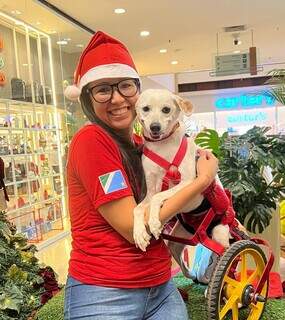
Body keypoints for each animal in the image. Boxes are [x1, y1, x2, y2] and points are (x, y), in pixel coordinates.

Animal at [132, 89, 230, 276]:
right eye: (146, 108)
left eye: (166, 109)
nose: (155, 127)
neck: (162, 146)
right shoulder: (151, 189)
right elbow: (138, 208)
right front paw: (139, 233)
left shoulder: (186, 182)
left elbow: (157, 198)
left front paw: (154, 223)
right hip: (178, 240)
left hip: (220, 233)